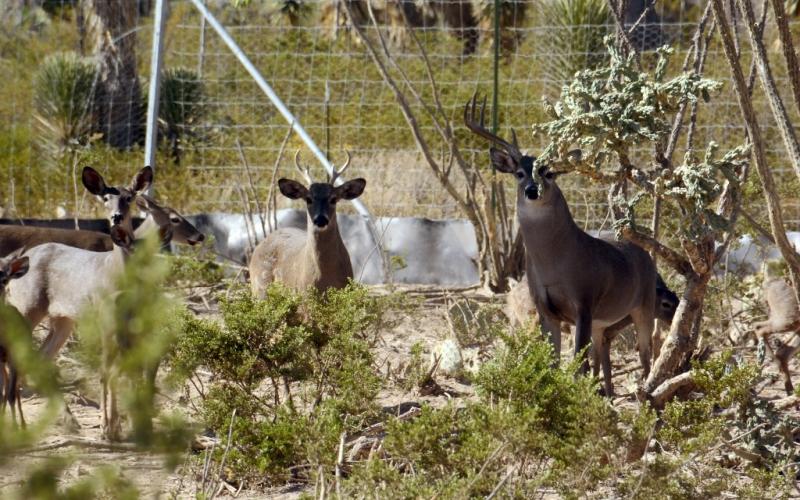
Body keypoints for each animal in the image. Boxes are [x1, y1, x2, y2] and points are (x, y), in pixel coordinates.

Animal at [248, 150, 368, 294]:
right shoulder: (303, 294)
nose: (320, 219)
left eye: (333, 199)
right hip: (259, 287)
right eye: (308, 199)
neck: (324, 278)